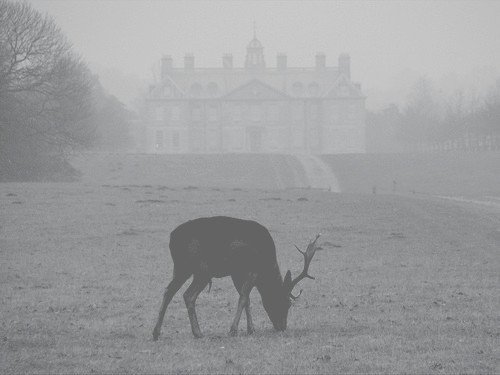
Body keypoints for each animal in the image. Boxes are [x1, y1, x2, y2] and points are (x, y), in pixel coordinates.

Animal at [151, 214, 320, 340]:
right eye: (287, 303)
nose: (282, 327)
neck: (266, 264)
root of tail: (172, 238)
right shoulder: (251, 270)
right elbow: (244, 298)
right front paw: (233, 330)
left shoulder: (237, 274)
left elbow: (247, 299)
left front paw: (251, 329)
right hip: (201, 270)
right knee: (188, 295)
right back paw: (198, 333)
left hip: (180, 268)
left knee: (168, 291)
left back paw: (156, 332)